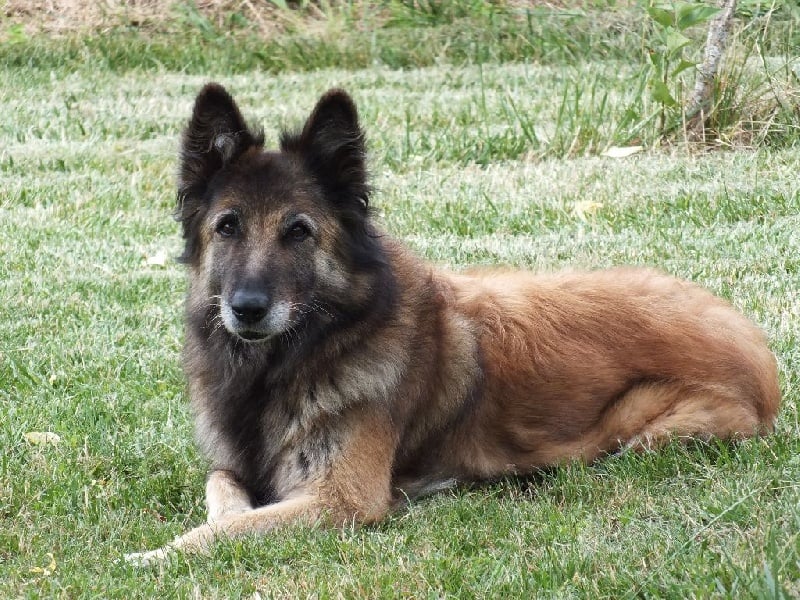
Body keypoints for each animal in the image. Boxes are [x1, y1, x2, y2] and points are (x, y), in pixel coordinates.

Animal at [125, 83, 780, 564]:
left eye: (298, 231)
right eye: (227, 226)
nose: (247, 308)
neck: (294, 359)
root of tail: (754, 345)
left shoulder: (342, 499)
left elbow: (224, 530)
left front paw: (154, 557)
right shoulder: (234, 465)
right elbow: (224, 493)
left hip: (639, 431)